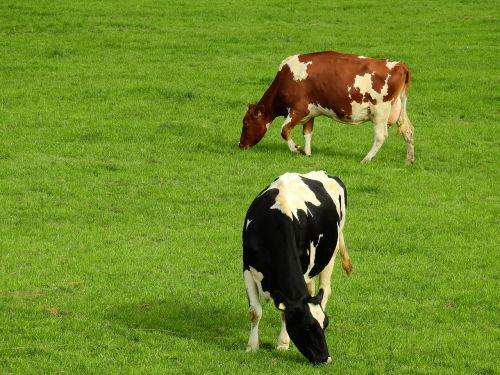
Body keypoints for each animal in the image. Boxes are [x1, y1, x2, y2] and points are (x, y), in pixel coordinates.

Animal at [238, 50, 414, 164]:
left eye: (245, 123)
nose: (240, 145)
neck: (287, 78)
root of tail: (399, 65)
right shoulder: (310, 112)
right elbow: (307, 133)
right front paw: (307, 153)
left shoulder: (298, 109)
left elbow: (284, 130)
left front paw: (297, 149)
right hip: (399, 108)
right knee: (408, 131)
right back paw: (409, 160)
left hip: (380, 111)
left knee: (380, 136)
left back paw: (366, 159)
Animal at [242, 172, 352, 366]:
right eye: (307, 328)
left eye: (325, 324)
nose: (326, 359)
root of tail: (325, 174)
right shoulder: (247, 268)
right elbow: (255, 312)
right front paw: (252, 347)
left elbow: (284, 314)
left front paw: (283, 343)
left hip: (330, 254)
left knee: (325, 290)